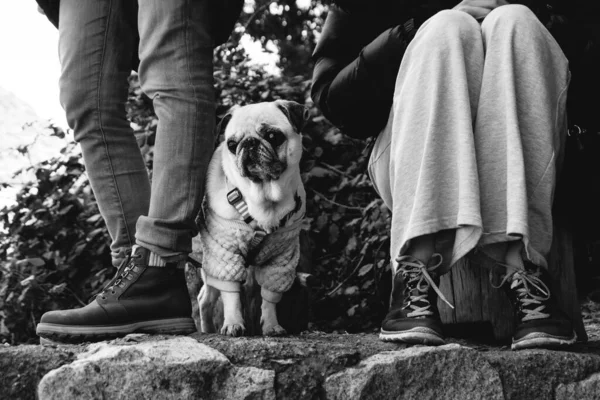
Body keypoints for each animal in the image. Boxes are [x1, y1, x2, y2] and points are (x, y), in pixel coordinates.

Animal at [197, 99, 310, 334]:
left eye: (273, 136)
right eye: (232, 144)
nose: (249, 143)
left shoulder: (280, 258)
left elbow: (269, 299)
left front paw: (272, 325)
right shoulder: (224, 254)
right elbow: (231, 295)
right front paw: (233, 324)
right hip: (209, 263)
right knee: (205, 298)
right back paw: (207, 329)